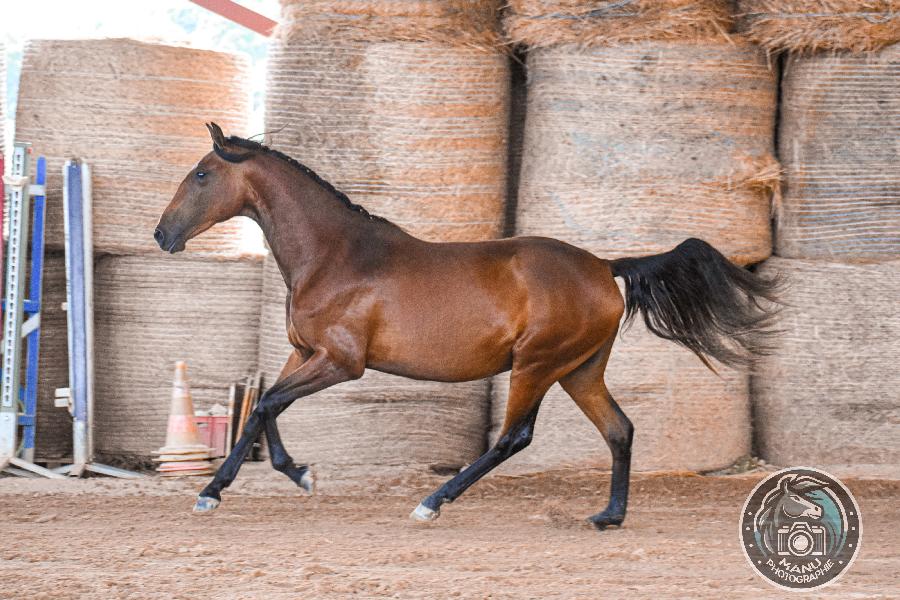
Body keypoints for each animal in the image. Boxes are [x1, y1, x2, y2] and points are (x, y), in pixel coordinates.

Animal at [155, 122, 780, 529]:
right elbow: (266, 409)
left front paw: (218, 492)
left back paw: (432, 502)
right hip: (579, 371)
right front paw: (290, 475)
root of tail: (605, 266)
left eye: (202, 174)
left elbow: (264, 405)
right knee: (619, 430)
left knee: (513, 438)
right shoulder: (303, 354)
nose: (162, 235)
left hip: (537, 365)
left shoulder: (341, 363)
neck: (334, 256)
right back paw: (608, 516)